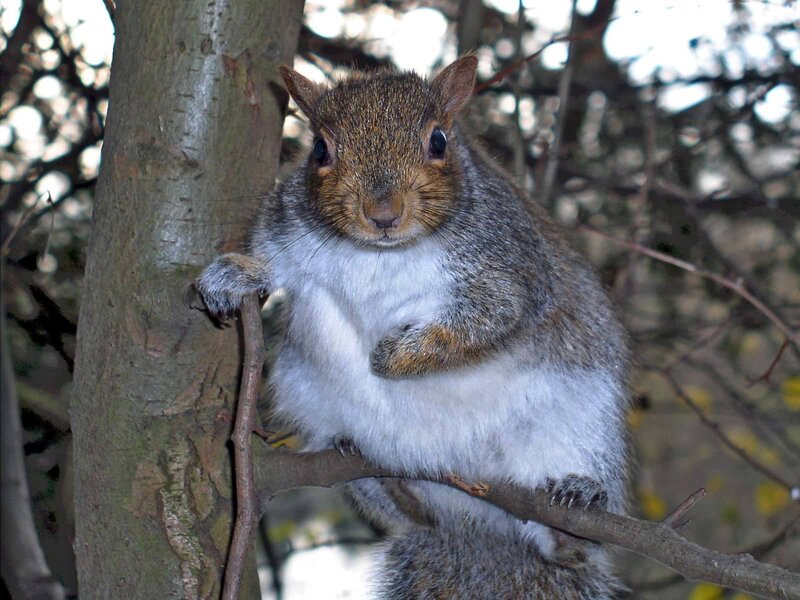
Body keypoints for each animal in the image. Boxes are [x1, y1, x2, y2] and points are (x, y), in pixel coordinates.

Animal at [196, 56, 631, 599]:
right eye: (319, 150)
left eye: (439, 141)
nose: (383, 214)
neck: (382, 254)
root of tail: (476, 521)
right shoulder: (285, 232)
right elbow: (270, 264)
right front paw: (232, 276)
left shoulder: (511, 269)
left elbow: (490, 319)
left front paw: (392, 356)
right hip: (313, 405)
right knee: (414, 515)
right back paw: (389, 483)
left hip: (580, 425)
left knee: (569, 546)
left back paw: (574, 511)